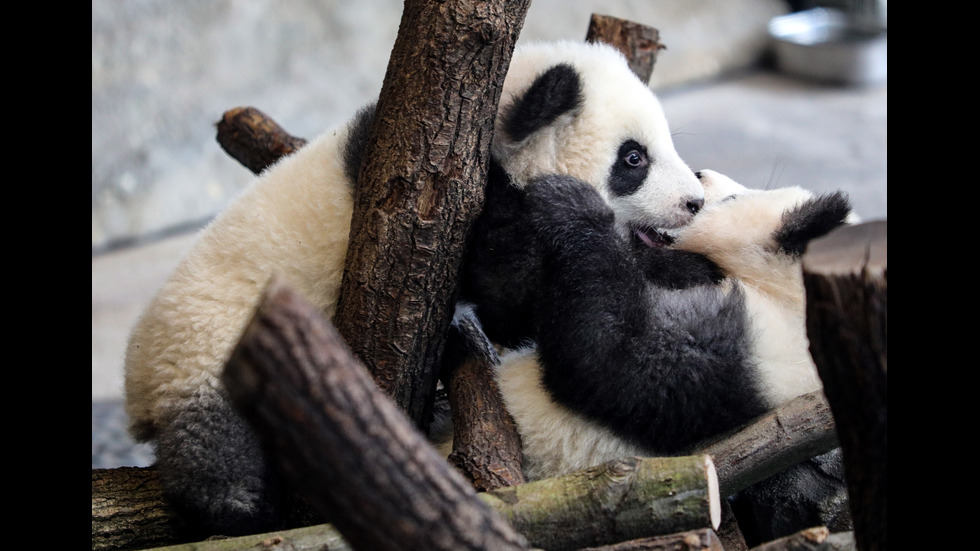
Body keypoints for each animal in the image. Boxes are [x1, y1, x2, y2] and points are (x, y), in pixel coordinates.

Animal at [122, 40, 704, 540]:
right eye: (633, 159)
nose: (694, 202)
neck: (490, 136)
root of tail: (136, 396)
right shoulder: (458, 209)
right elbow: (513, 294)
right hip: (207, 351)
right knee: (219, 456)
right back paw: (245, 507)